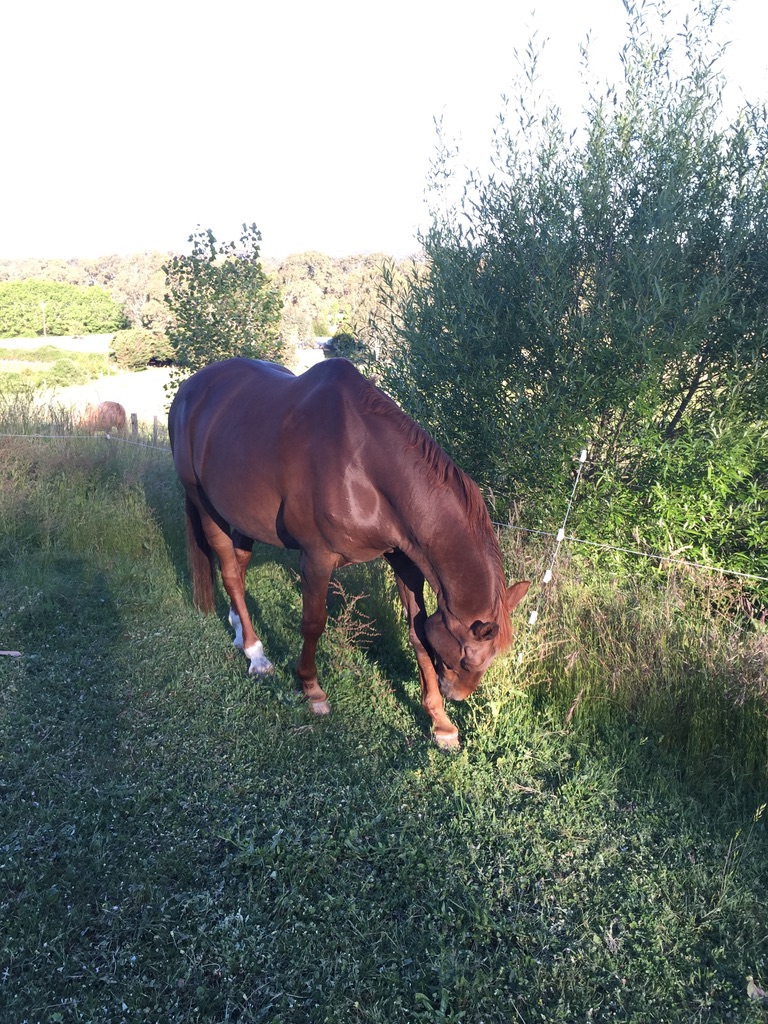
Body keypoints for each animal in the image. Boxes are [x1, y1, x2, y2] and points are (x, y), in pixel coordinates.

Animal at [167, 358, 528, 745]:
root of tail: (189, 389)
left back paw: (238, 629)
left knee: (239, 566)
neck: (364, 466)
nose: (456, 695)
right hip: (207, 507)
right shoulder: (316, 558)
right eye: (468, 661)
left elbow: (417, 633)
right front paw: (311, 689)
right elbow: (313, 623)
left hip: (243, 517)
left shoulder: (405, 560)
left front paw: (440, 723)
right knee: (231, 573)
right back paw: (256, 655)